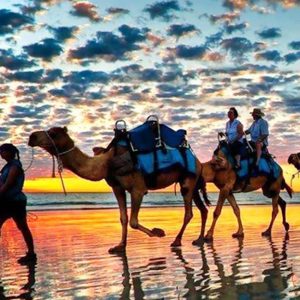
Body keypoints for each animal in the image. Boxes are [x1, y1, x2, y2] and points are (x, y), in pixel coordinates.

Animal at [28, 125, 209, 252]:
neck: (106, 162)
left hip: (188, 180)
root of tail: (198, 161)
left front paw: (157, 232)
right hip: (192, 183)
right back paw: (199, 239)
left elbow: (133, 221)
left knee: (189, 212)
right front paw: (120, 246)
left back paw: (177, 240)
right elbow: (123, 218)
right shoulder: (117, 188)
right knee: (203, 209)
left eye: (52, 133)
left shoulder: (138, 188)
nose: (32, 136)